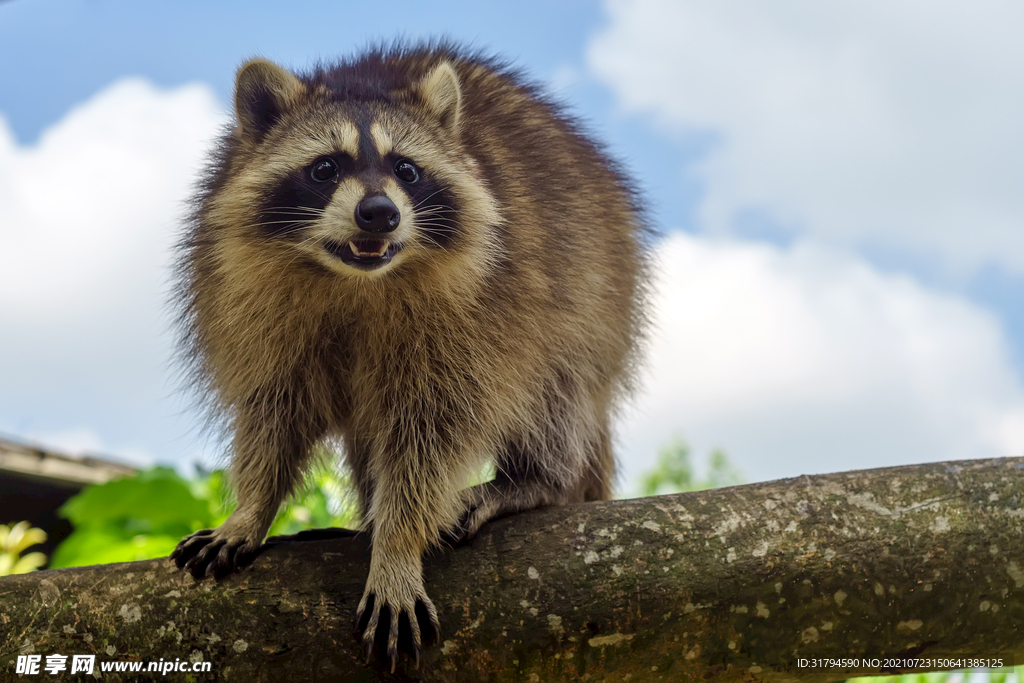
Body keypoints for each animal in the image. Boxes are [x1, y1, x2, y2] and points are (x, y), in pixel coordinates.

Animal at [168, 44, 647, 671]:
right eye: (325, 168)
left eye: (406, 170)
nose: (379, 212)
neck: (355, 279)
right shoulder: (246, 303)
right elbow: (273, 411)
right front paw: (254, 506)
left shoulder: (480, 316)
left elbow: (430, 432)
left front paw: (397, 546)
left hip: (594, 298)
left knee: (553, 392)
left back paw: (536, 480)